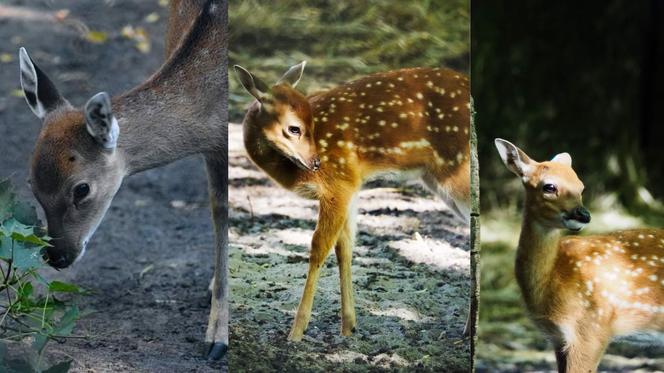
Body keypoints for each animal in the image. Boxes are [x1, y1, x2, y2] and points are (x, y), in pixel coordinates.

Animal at [235, 63, 472, 340]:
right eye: (295, 128)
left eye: (311, 123)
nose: (316, 162)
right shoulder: (350, 186)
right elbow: (344, 249)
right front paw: (348, 327)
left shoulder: (337, 182)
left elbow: (318, 249)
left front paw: (296, 332)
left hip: (457, 168)